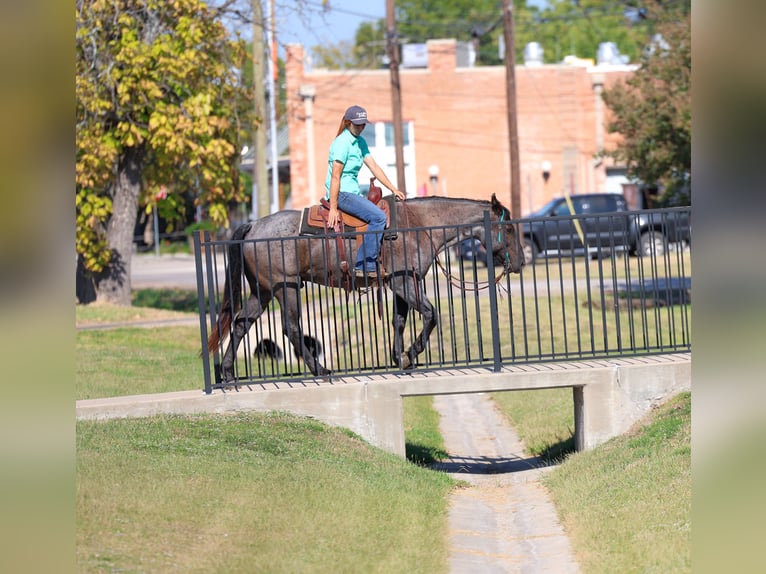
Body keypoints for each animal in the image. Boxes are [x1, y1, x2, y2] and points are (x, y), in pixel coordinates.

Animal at [207, 193, 523, 380]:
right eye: (508, 228)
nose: (520, 262)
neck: (419, 224)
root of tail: (253, 226)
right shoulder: (403, 282)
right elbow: (431, 314)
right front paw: (412, 353)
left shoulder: (401, 284)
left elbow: (399, 321)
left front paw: (400, 357)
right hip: (287, 288)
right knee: (291, 328)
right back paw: (320, 369)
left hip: (263, 291)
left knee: (240, 323)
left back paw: (228, 373)